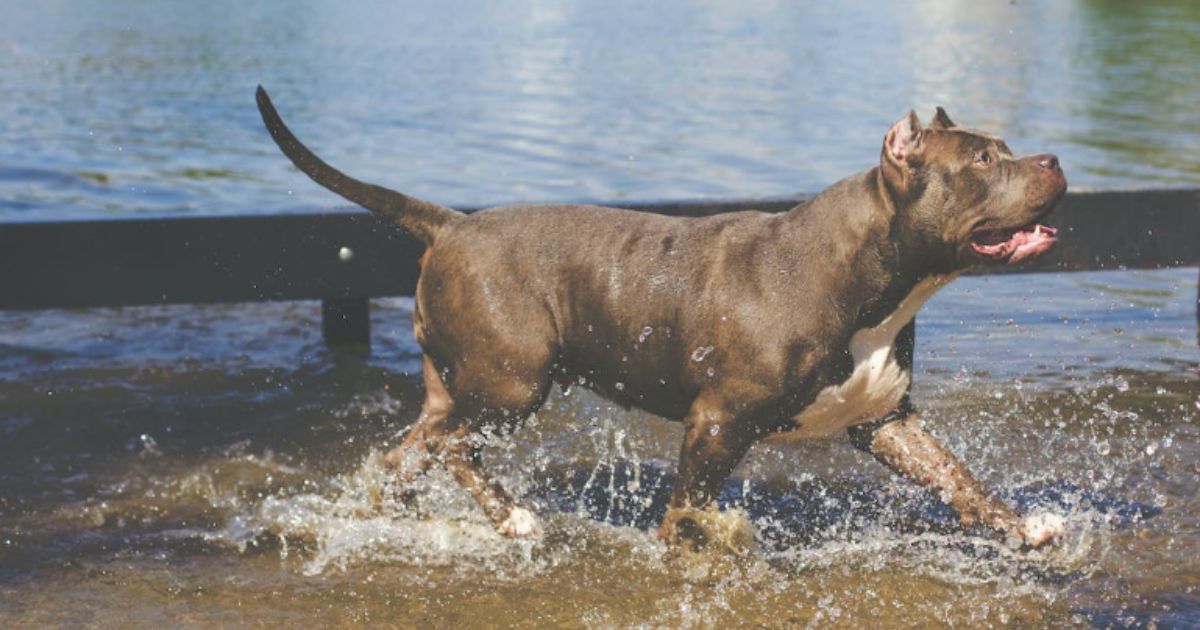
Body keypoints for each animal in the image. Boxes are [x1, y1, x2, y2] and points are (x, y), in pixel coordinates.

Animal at [258, 85, 1065, 547]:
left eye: (1008, 150)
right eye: (984, 160)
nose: (1054, 159)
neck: (873, 274)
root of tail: (452, 225)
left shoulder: (885, 420)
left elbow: (957, 477)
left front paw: (1022, 526)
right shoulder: (715, 422)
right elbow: (688, 508)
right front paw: (693, 550)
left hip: (461, 387)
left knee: (412, 450)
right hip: (515, 383)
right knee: (457, 446)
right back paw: (513, 517)